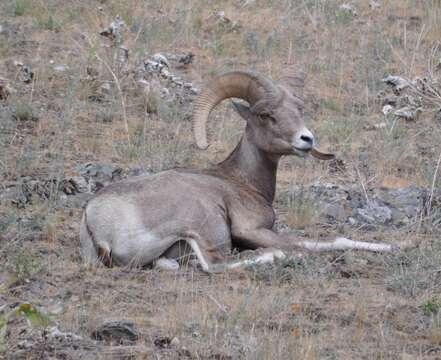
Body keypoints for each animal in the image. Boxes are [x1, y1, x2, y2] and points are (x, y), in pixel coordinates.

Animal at [80, 70, 410, 272]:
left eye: (299, 110)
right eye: (266, 115)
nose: (306, 139)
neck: (242, 181)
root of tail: (95, 220)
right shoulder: (252, 230)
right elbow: (328, 241)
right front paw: (395, 245)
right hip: (208, 228)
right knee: (214, 265)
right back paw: (274, 256)